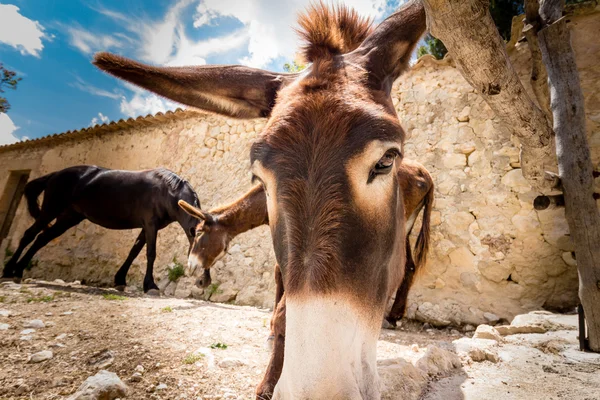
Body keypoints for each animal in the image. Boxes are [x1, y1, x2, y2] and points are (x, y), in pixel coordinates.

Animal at [1, 164, 202, 292]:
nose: (201, 277)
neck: (167, 191)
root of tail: (55, 174)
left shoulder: (148, 227)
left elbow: (134, 252)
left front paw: (120, 280)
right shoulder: (150, 224)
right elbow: (150, 253)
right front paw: (150, 285)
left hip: (67, 218)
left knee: (42, 239)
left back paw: (19, 270)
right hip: (50, 210)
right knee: (29, 235)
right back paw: (9, 271)